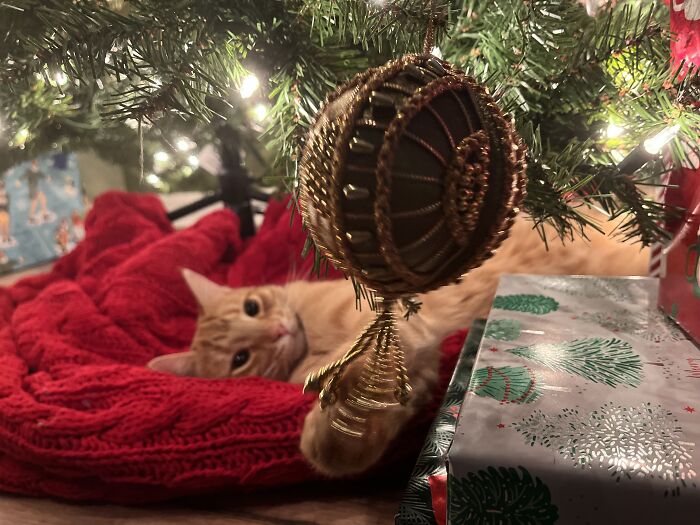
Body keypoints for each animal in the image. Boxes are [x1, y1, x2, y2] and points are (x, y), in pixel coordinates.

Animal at [149, 215, 652, 476]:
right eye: (240, 358)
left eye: (252, 307)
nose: (276, 332)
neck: (312, 341)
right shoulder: (418, 357)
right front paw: (344, 439)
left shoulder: (389, 320)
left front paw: (335, 432)